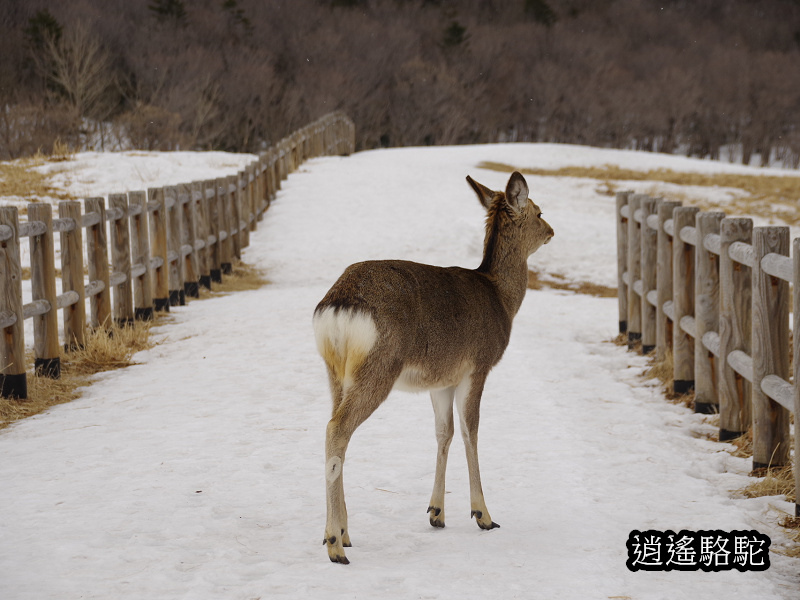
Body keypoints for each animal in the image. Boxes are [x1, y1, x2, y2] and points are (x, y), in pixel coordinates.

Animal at [314, 171, 556, 564]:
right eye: (538, 212)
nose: (551, 230)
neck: (502, 300)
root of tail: (336, 306)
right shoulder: (478, 366)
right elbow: (472, 431)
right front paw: (483, 515)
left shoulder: (441, 379)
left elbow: (445, 433)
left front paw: (437, 513)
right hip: (379, 367)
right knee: (337, 429)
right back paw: (336, 544)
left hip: (335, 372)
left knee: (334, 427)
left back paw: (341, 534)